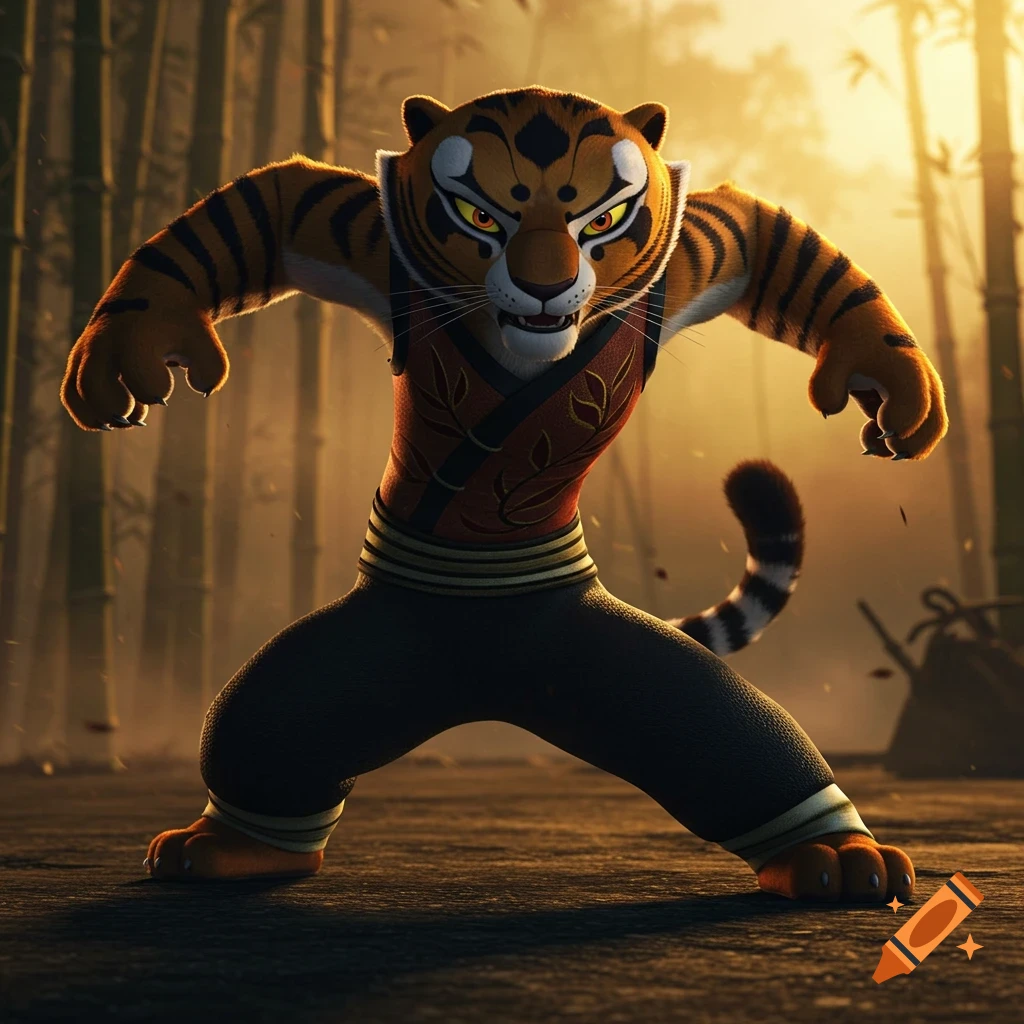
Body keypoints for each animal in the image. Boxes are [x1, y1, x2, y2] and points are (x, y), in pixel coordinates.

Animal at [62, 87, 945, 903]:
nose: (545, 285)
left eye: (604, 219)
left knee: (739, 747)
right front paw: (126, 344)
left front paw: (889, 370)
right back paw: (235, 845)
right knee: (264, 733)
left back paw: (836, 853)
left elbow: (765, 235)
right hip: (369, 657)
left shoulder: (683, 263)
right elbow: (267, 204)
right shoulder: (372, 242)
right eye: (476, 214)